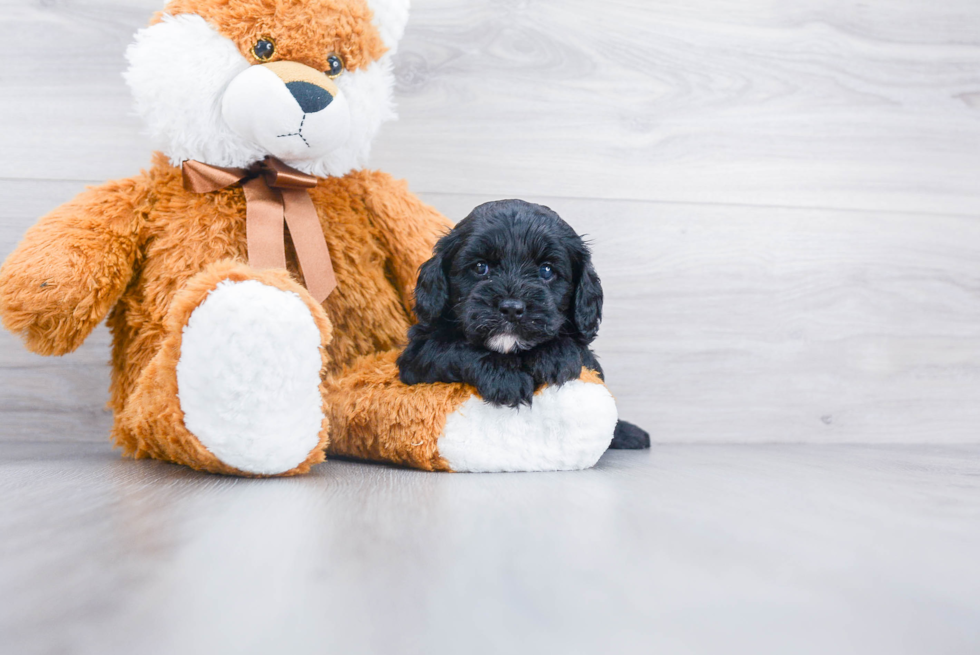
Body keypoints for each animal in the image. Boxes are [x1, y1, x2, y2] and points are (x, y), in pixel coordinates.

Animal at [398, 200, 652, 452]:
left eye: (546, 270)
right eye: (480, 267)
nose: (512, 308)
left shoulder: (590, 361)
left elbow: (575, 349)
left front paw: (554, 356)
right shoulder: (417, 354)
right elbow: (453, 348)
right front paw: (505, 376)